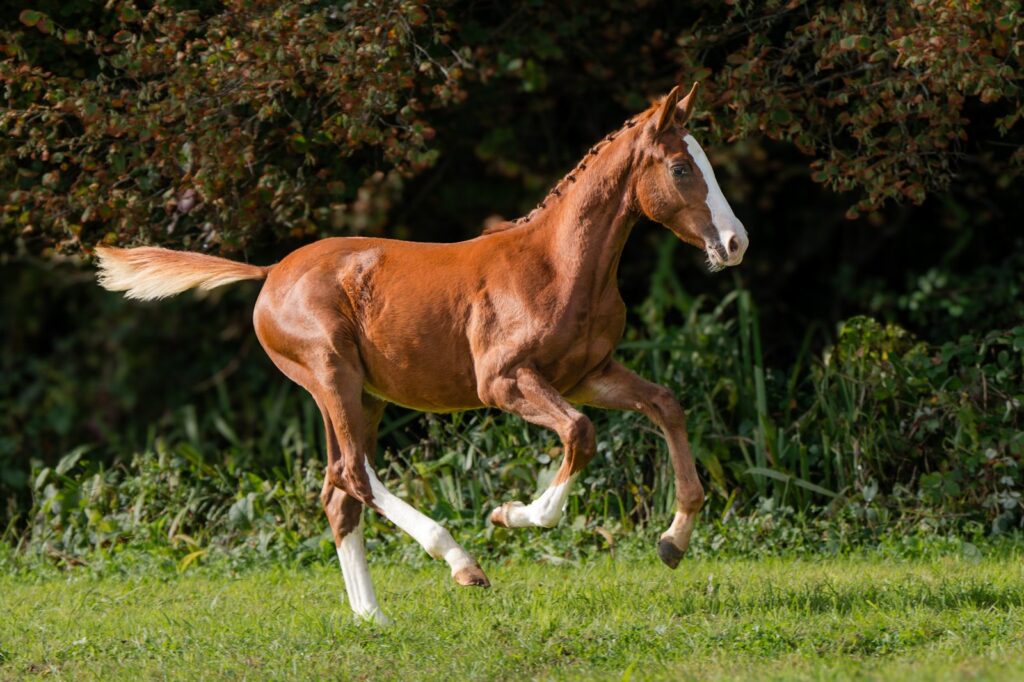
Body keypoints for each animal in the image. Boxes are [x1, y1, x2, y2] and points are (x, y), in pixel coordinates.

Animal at [95, 82, 748, 624]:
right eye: (681, 167)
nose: (735, 242)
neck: (559, 265)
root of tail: (270, 272)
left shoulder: (589, 374)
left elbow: (665, 405)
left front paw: (672, 542)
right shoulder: (504, 382)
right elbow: (580, 434)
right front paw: (510, 515)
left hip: (363, 396)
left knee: (338, 493)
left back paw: (373, 618)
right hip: (330, 373)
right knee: (353, 474)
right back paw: (460, 563)